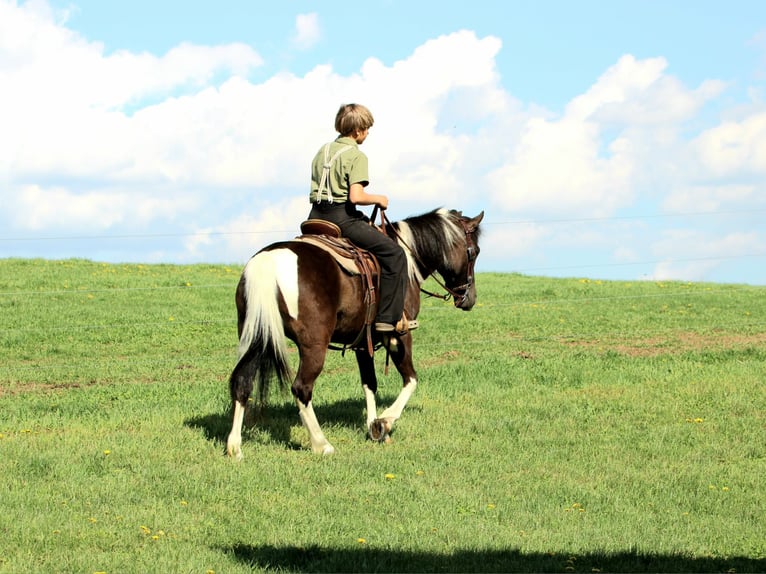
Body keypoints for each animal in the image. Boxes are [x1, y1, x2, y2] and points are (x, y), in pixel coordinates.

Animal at [225, 208, 484, 458]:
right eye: (474, 252)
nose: (469, 299)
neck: (409, 261)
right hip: (313, 345)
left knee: (242, 382)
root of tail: (267, 262)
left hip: (256, 336)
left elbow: (369, 383)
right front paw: (384, 422)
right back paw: (321, 444)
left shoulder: (362, 341)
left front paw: (373, 426)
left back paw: (234, 447)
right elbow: (411, 380)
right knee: (301, 388)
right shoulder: (399, 335)